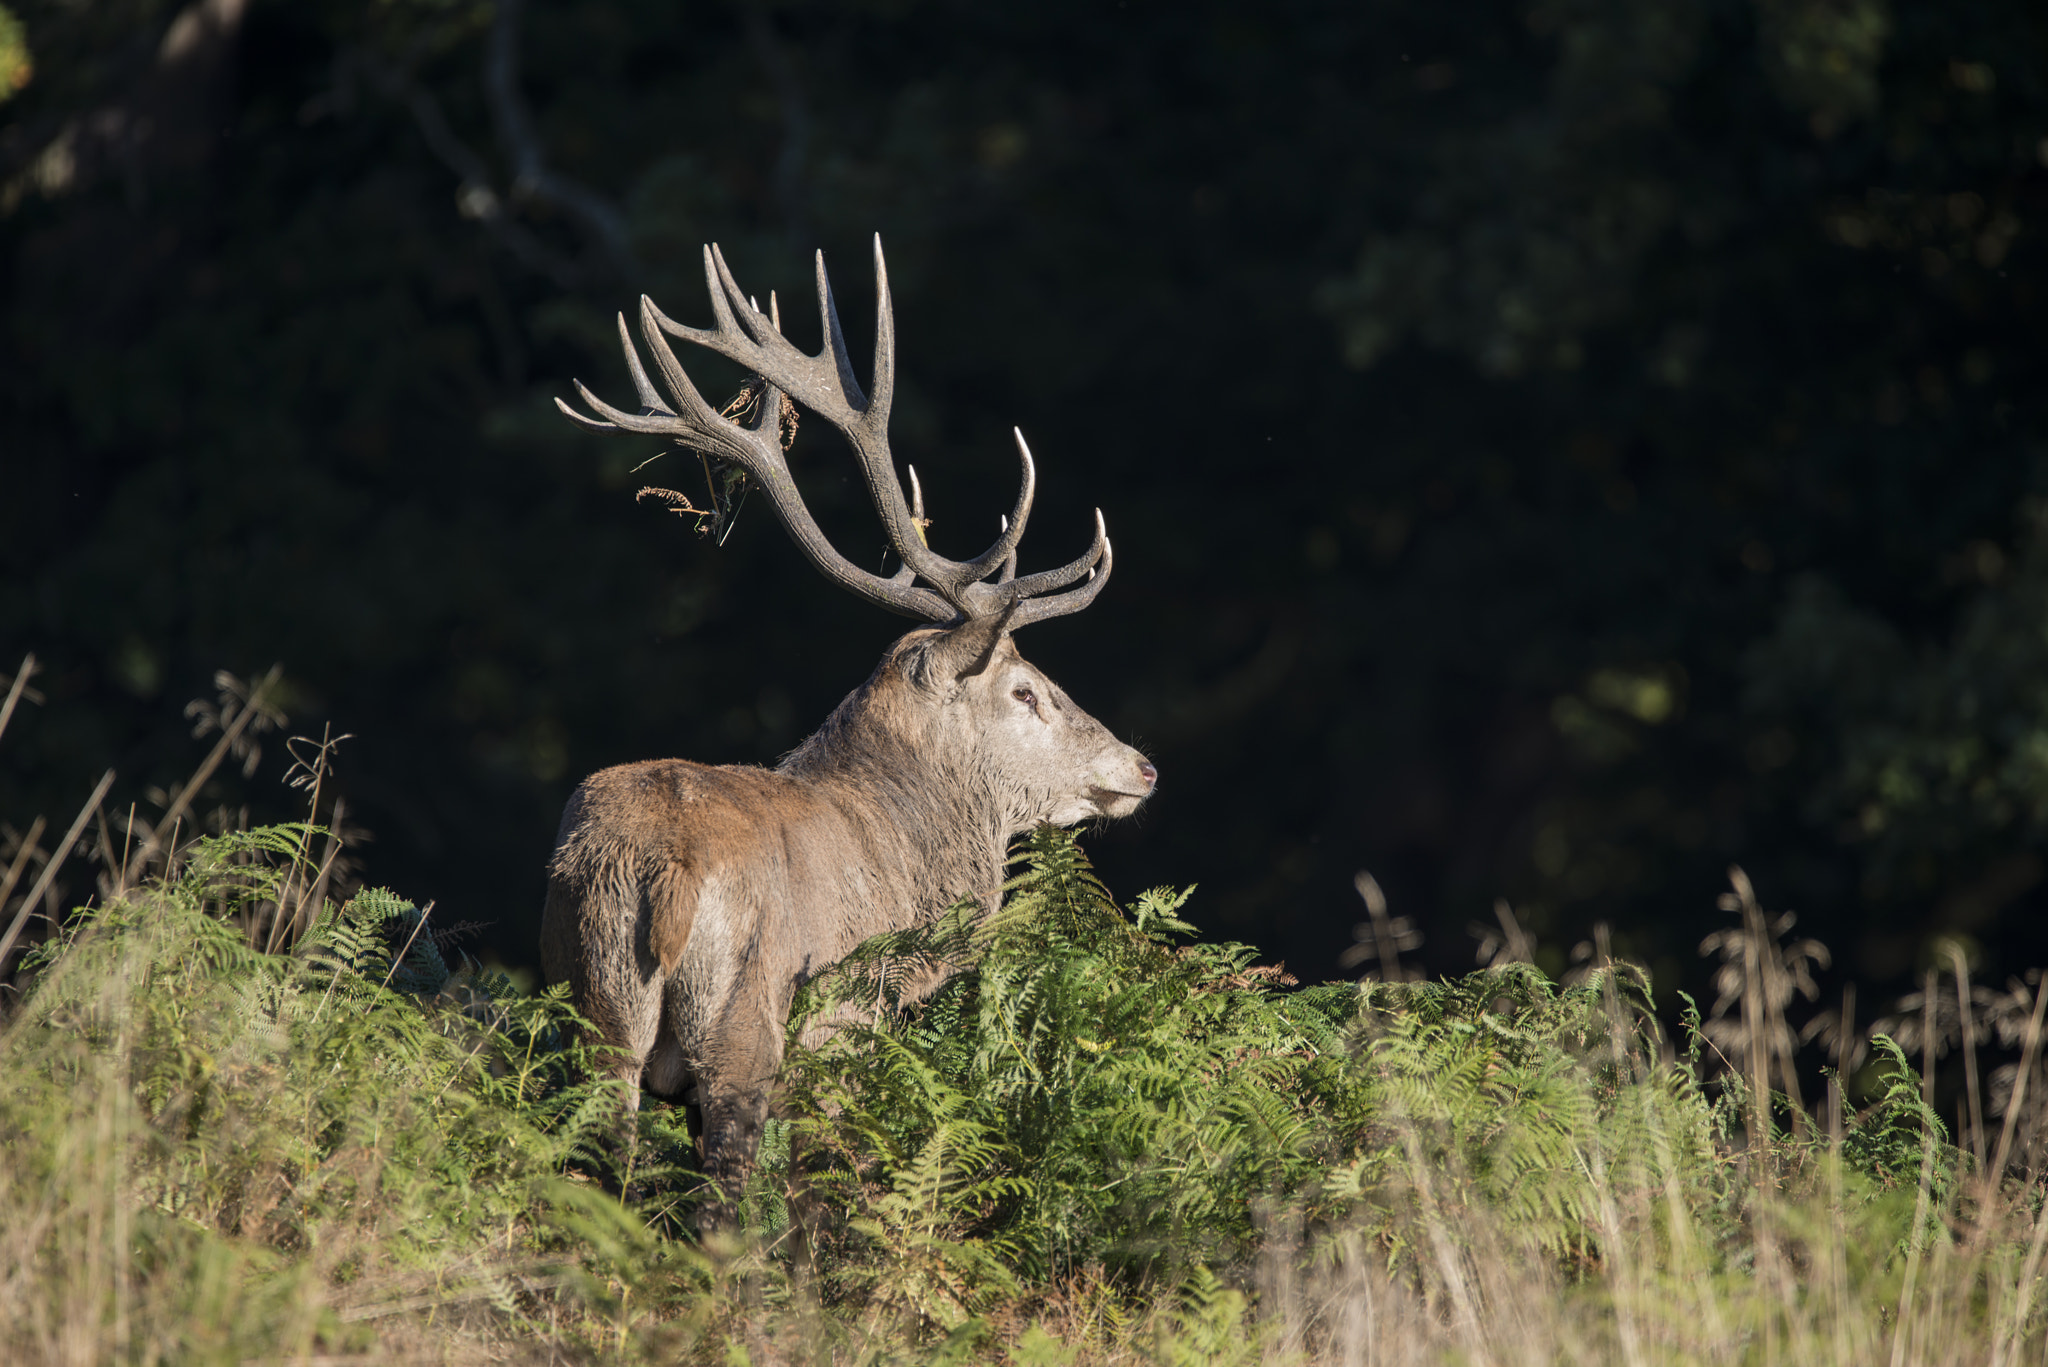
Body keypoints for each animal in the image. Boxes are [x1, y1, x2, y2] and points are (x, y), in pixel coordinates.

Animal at [542, 236, 1157, 1208]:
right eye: (1024, 690)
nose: (1141, 766)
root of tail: (663, 868)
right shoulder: (845, 1026)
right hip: (747, 1014)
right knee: (727, 1196)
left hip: (591, 1001)